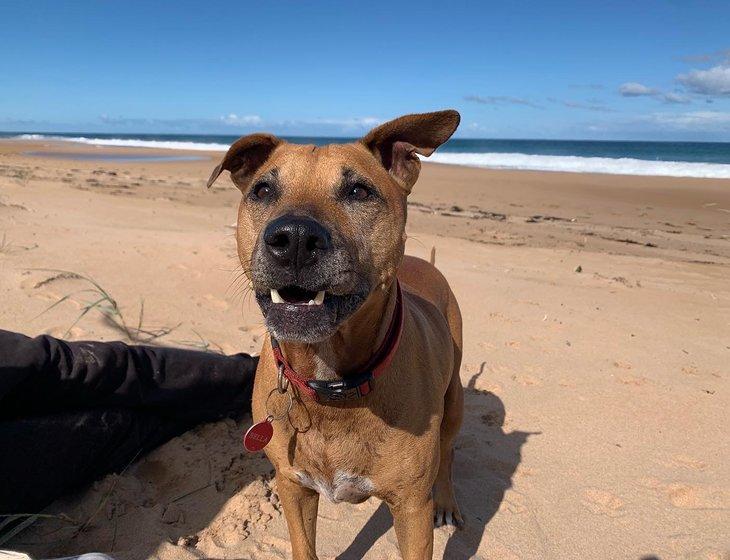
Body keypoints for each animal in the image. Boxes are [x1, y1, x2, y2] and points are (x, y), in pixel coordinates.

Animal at [208, 110, 464, 560]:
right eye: (263, 190)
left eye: (359, 191)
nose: (293, 238)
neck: (330, 383)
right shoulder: (292, 485)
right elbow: (303, 545)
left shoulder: (412, 507)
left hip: (454, 401)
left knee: (448, 452)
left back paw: (447, 502)